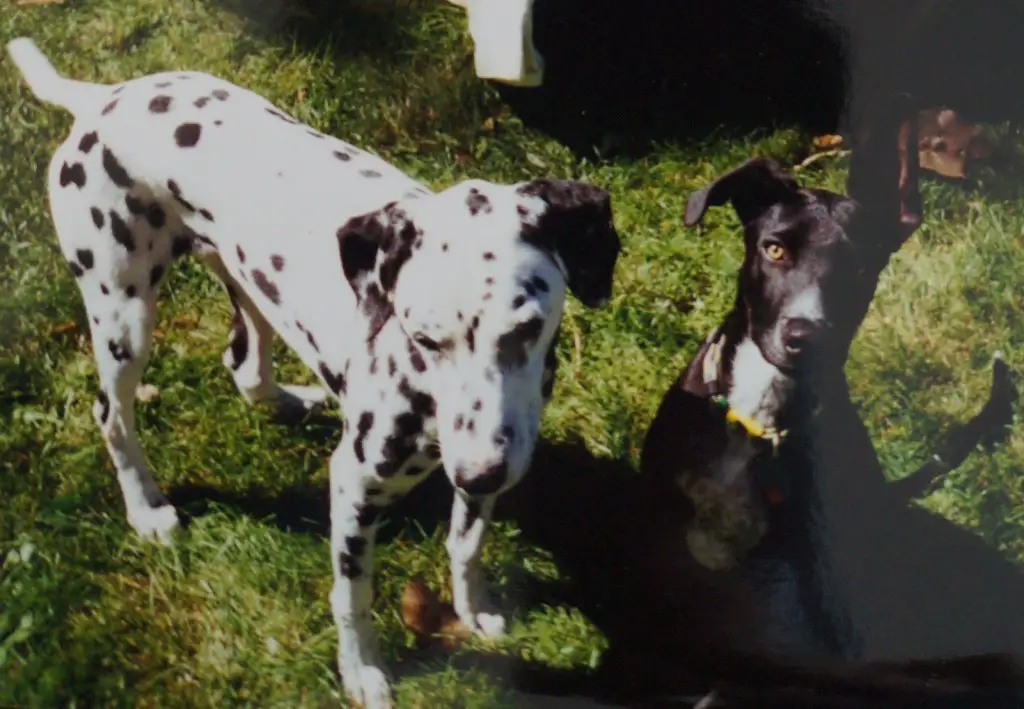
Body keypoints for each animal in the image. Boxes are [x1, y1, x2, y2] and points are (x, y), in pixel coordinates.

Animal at [8, 37, 618, 709]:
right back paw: (146, 509)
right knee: (112, 416)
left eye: (526, 328)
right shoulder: (355, 485)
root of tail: (99, 100)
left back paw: (286, 399)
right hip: (124, 317)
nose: (478, 471)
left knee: (244, 368)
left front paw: (472, 607)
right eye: (424, 337)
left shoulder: (492, 459)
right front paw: (361, 671)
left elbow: (467, 542)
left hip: (245, 286)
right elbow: (352, 595)